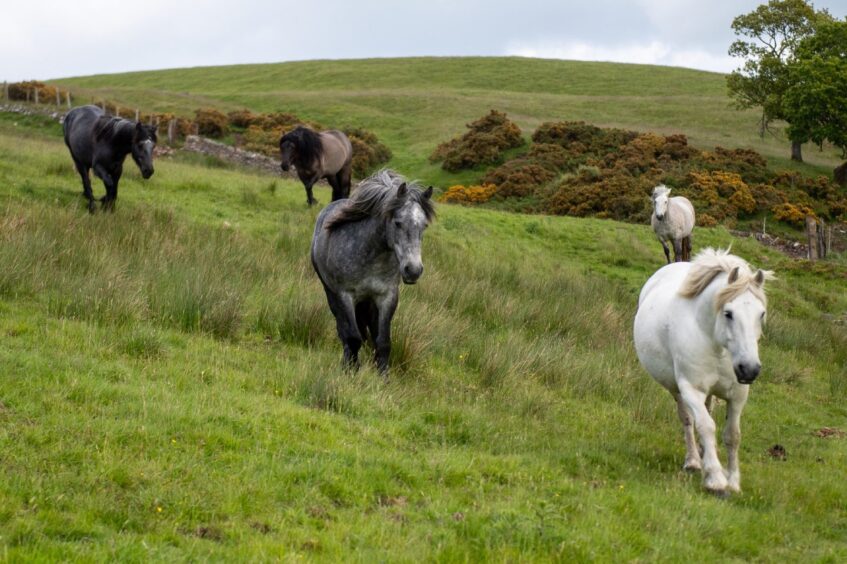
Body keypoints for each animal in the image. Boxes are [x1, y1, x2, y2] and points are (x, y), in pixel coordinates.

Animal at [312, 170, 434, 376]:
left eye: (424, 225)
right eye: (398, 223)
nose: (413, 270)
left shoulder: (387, 297)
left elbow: (383, 341)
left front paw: (383, 376)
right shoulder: (345, 295)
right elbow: (353, 337)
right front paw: (351, 371)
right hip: (331, 293)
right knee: (343, 330)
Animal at [636, 249, 776, 496]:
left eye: (761, 314)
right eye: (728, 313)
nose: (749, 369)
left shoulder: (738, 395)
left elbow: (733, 435)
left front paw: (733, 482)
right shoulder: (692, 389)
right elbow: (706, 426)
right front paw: (715, 479)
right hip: (677, 389)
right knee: (688, 419)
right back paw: (693, 461)